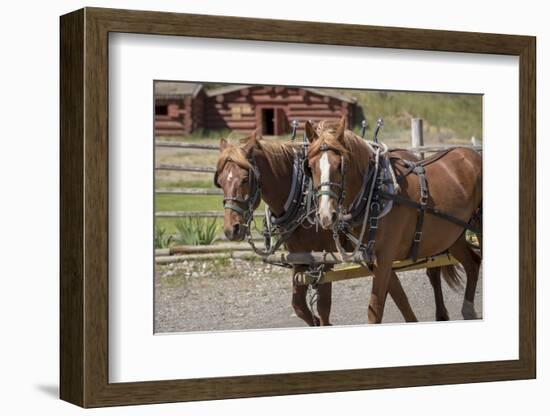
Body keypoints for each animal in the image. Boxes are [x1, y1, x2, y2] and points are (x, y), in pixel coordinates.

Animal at [306, 116, 484, 322]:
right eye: (310, 167)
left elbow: (375, 310)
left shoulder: (384, 258)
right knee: (472, 263)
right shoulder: (376, 260)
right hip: (452, 235)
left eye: (340, 165)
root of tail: (473, 155)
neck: (375, 192)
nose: (326, 215)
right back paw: (468, 310)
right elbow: (401, 300)